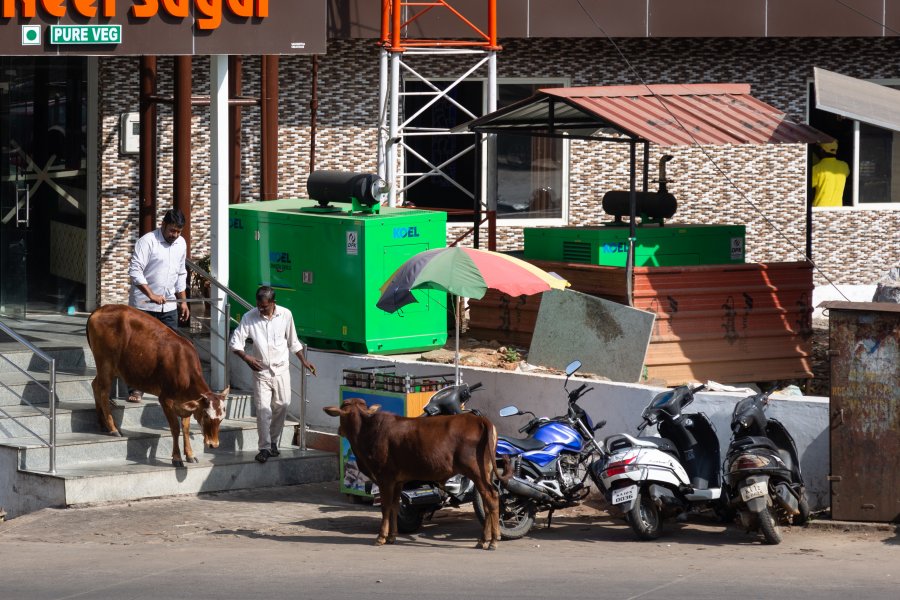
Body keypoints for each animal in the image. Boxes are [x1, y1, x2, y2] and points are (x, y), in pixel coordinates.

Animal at [86, 304, 230, 468]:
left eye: (222, 418)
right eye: (206, 415)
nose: (214, 444)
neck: (184, 368)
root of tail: (99, 310)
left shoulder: (185, 403)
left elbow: (186, 428)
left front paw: (190, 454)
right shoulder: (165, 399)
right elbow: (175, 428)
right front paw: (177, 457)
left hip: (109, 367)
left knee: (95, 385)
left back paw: (102, 423)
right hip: (106, 363)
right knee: (103, 391)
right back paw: (113, 428)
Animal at [326, 396, 506, 552]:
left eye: (341, 415)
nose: (339, 430)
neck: (368, 431)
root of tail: (480, 420)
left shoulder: (385, 478)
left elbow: (385, 507)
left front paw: (381, 537)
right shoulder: (397, 481)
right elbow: (394, 505)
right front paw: (392, 536)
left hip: (476, 471)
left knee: (491, 498)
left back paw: (492, 541)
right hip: (485, 472)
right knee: (488, 500)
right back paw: (484, 540)